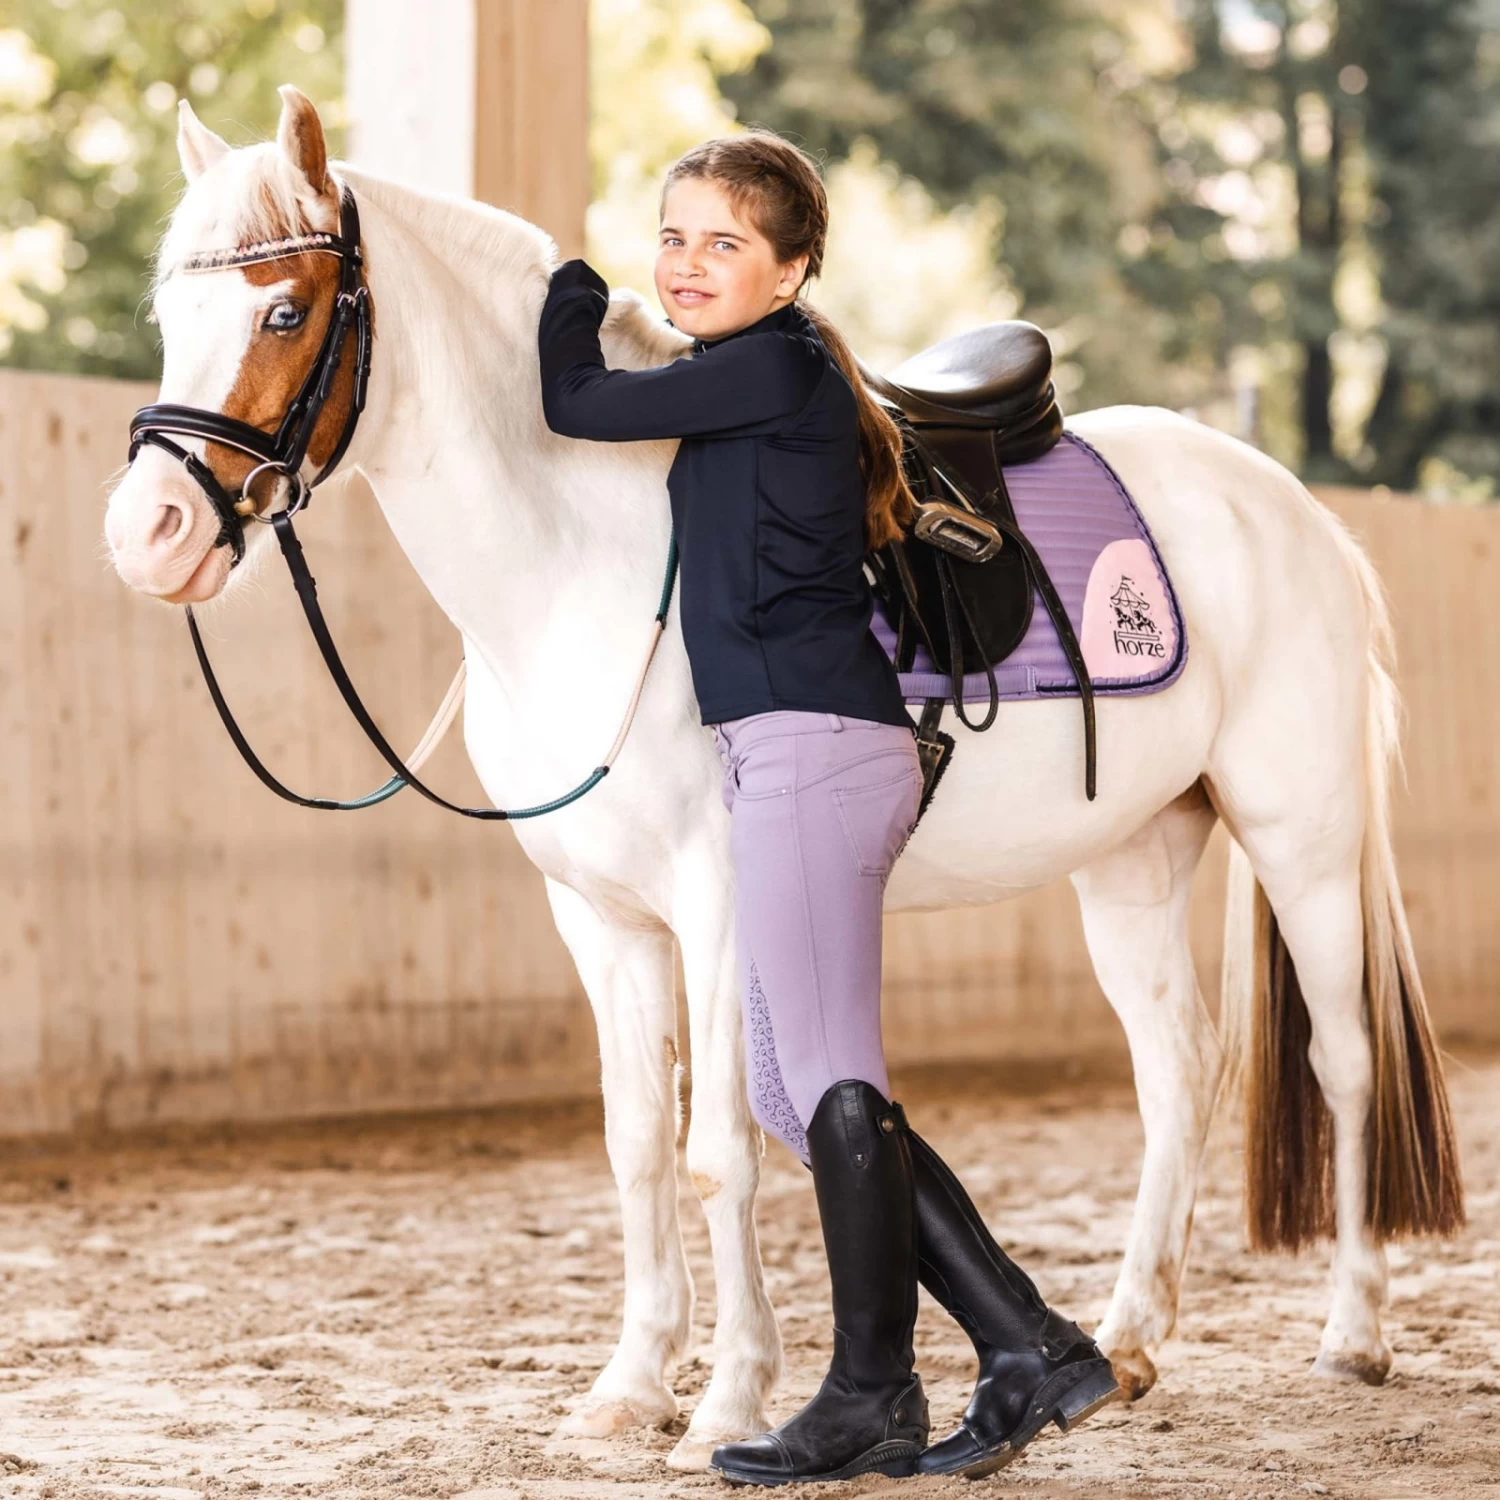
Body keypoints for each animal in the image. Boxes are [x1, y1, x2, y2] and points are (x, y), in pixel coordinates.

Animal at [104, 87, 1462, 1469]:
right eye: (168, 317)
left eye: (284, 312)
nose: (147, 535)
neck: (585, 559)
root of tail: (1295, 510)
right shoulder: (597, 917)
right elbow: (638, 1145)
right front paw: (629, 1387)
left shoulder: (717, 902)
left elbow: (721, 1150)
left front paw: (727, 1401)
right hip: (1132, 858)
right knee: (1178, 1066)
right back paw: (1124, 1346)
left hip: (1299, 841)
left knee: (1345, 1061)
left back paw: (1352, 1333)